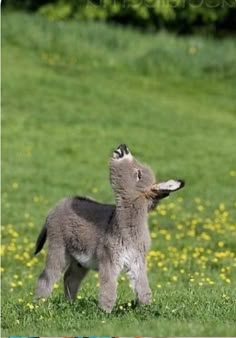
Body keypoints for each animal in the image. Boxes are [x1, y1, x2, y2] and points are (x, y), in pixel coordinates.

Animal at [34, 144, 184, 312]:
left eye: (138, 174)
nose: (123, 147)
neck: (127, 227)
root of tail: (57, 206)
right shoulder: (109, 260)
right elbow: (109, 288)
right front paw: (105, 312)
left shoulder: (137, 261)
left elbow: (143, 288)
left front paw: (145, 310)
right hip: (58, 247)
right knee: (47, 276)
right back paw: (39, 305)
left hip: (79, 260)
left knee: (70, 277)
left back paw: (69, 304)